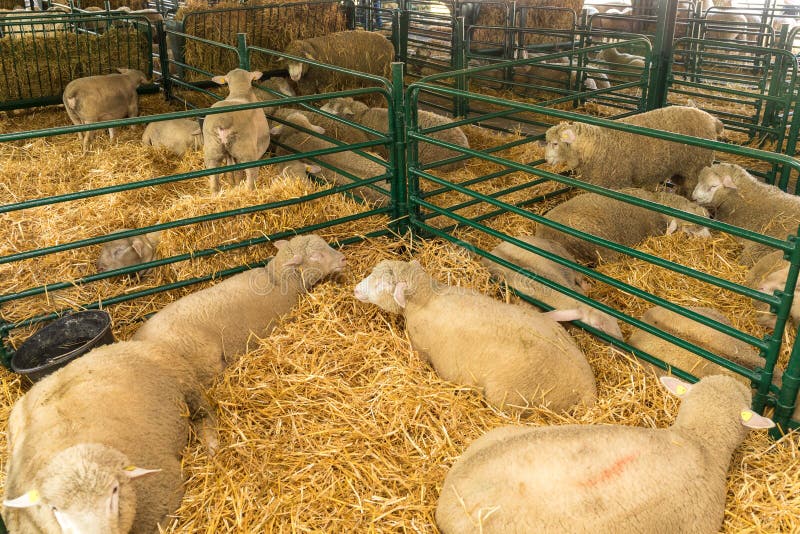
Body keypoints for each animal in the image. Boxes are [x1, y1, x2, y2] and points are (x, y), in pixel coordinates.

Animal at [2, 339, 218, 533]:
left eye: (115, 490)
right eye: (54, 509)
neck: (70, 443)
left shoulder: (166, 496)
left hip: (186, 382)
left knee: (204, 414)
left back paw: (212, 445)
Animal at [353, 259, 596, 413]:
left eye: (382, 284)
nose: (355, 290)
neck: (427, 297)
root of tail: (588, 388)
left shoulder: (419, 347)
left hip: (507, 396)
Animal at [544, 106, 724, 194]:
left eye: (555, 143)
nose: (546, 159)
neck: (596, 145)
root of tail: (712, 120)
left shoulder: (616, 182)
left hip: (696, 167)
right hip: (683, 169)